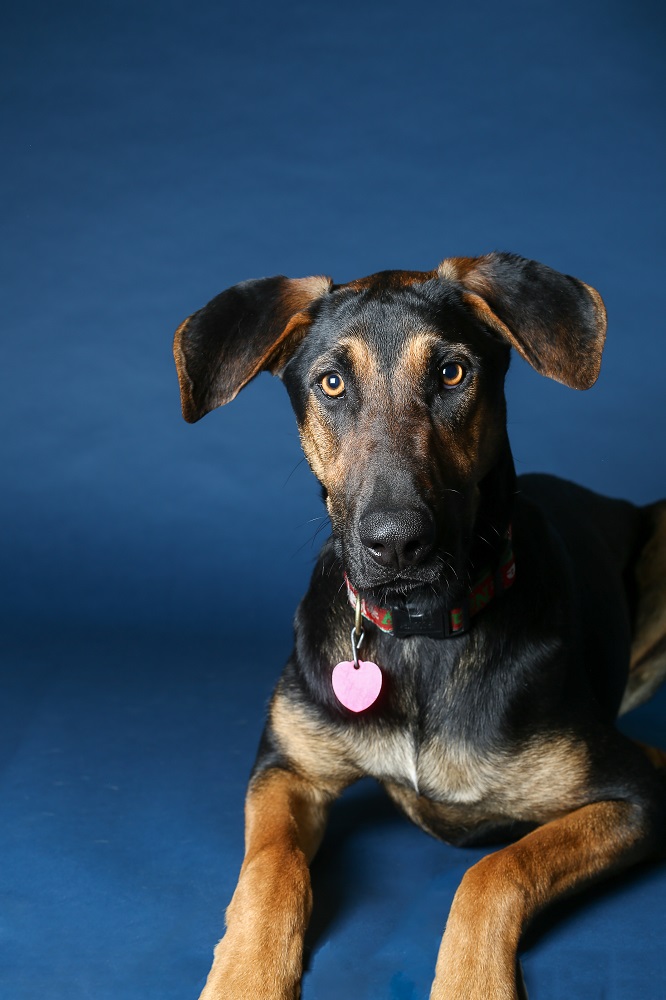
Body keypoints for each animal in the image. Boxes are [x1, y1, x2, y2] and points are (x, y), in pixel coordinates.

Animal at [172, 254, 664, 1000]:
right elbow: (271, 867)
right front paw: (245, 975)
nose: (397, 543)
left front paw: (471, 982)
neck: (418, 635)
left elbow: (495, 869)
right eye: (332, 383)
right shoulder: (287, 767)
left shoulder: (634, 793)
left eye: (452, 374)